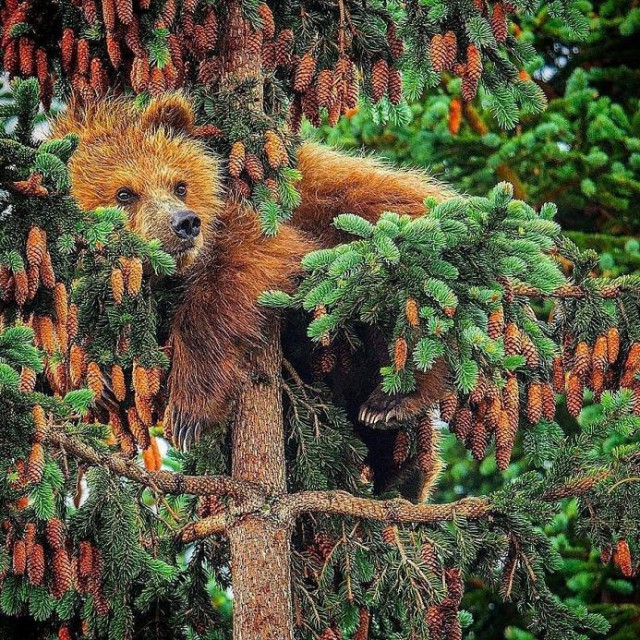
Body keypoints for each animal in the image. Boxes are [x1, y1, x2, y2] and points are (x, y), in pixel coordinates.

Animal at [52, 95, 452, 472]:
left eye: (179, 185)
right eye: (124, 193)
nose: (185, 223)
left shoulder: (255, 220)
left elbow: (246, 266)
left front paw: (188, 409)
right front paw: (98, 374)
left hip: (382, 239)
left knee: (405, 318)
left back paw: (391, 404)